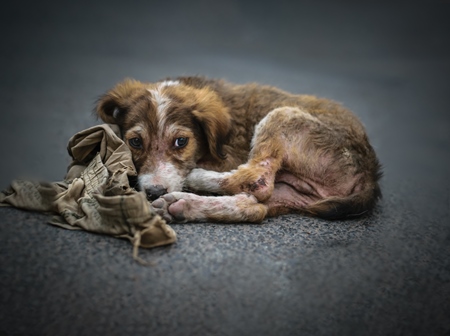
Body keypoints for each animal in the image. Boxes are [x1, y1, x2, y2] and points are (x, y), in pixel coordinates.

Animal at [96, 76, 382, 223]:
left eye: (181, 142)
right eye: (135, 142)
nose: (154, 192)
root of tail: (369, 175)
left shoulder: (227, 157)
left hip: (281, 116)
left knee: (257, 178)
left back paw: (196, 180)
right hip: (292, 192)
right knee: (253, 206)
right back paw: (182, 205)